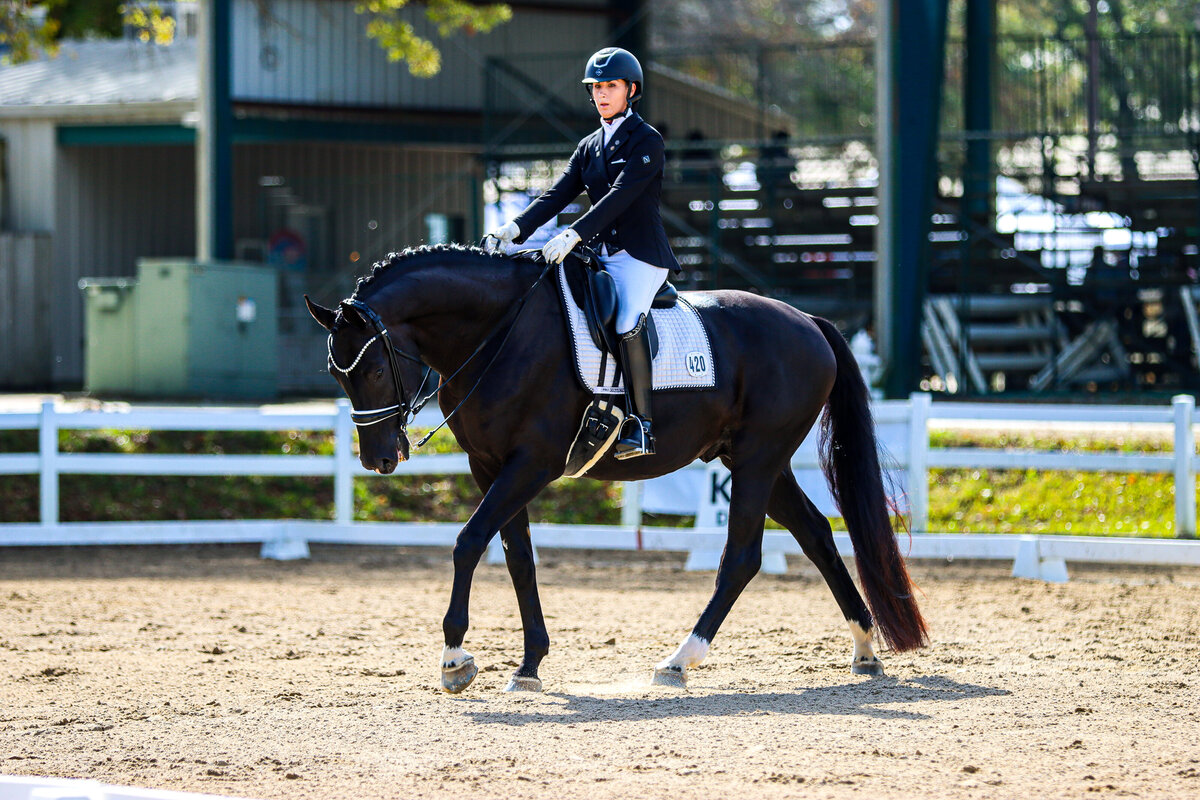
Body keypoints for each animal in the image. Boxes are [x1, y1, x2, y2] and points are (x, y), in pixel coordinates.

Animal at [305, 244, 928, 693]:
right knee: (816, 534)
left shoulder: (532, 463)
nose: (379, 458)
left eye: (374, 371)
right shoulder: (490, 467)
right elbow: (518, 558)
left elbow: (469, 541)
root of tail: (805, 319)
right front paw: (529, 665)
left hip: (758, 459)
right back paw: (864, 650)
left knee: (742, 557)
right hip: (754, 459)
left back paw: (679, 660)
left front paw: (455, 659)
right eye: (336, 375)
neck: (497, 332)